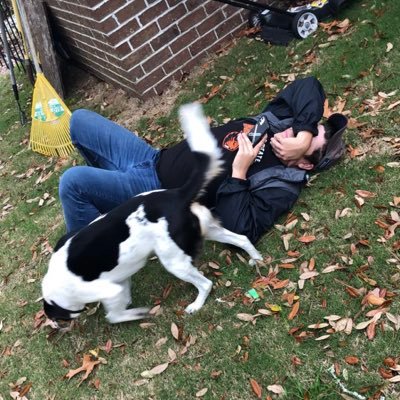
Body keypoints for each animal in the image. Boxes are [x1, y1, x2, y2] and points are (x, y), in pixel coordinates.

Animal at [43, 104, 262, 324]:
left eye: (58, 318)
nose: (57, 326)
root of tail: (178, 194)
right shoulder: (120, 281)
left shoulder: (110, 290)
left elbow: (114, 315)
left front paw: (137, 313)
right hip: (208, 230)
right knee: (242, 239)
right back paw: (256, 259)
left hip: (175, 261)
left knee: (206, 283)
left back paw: (196, 305)